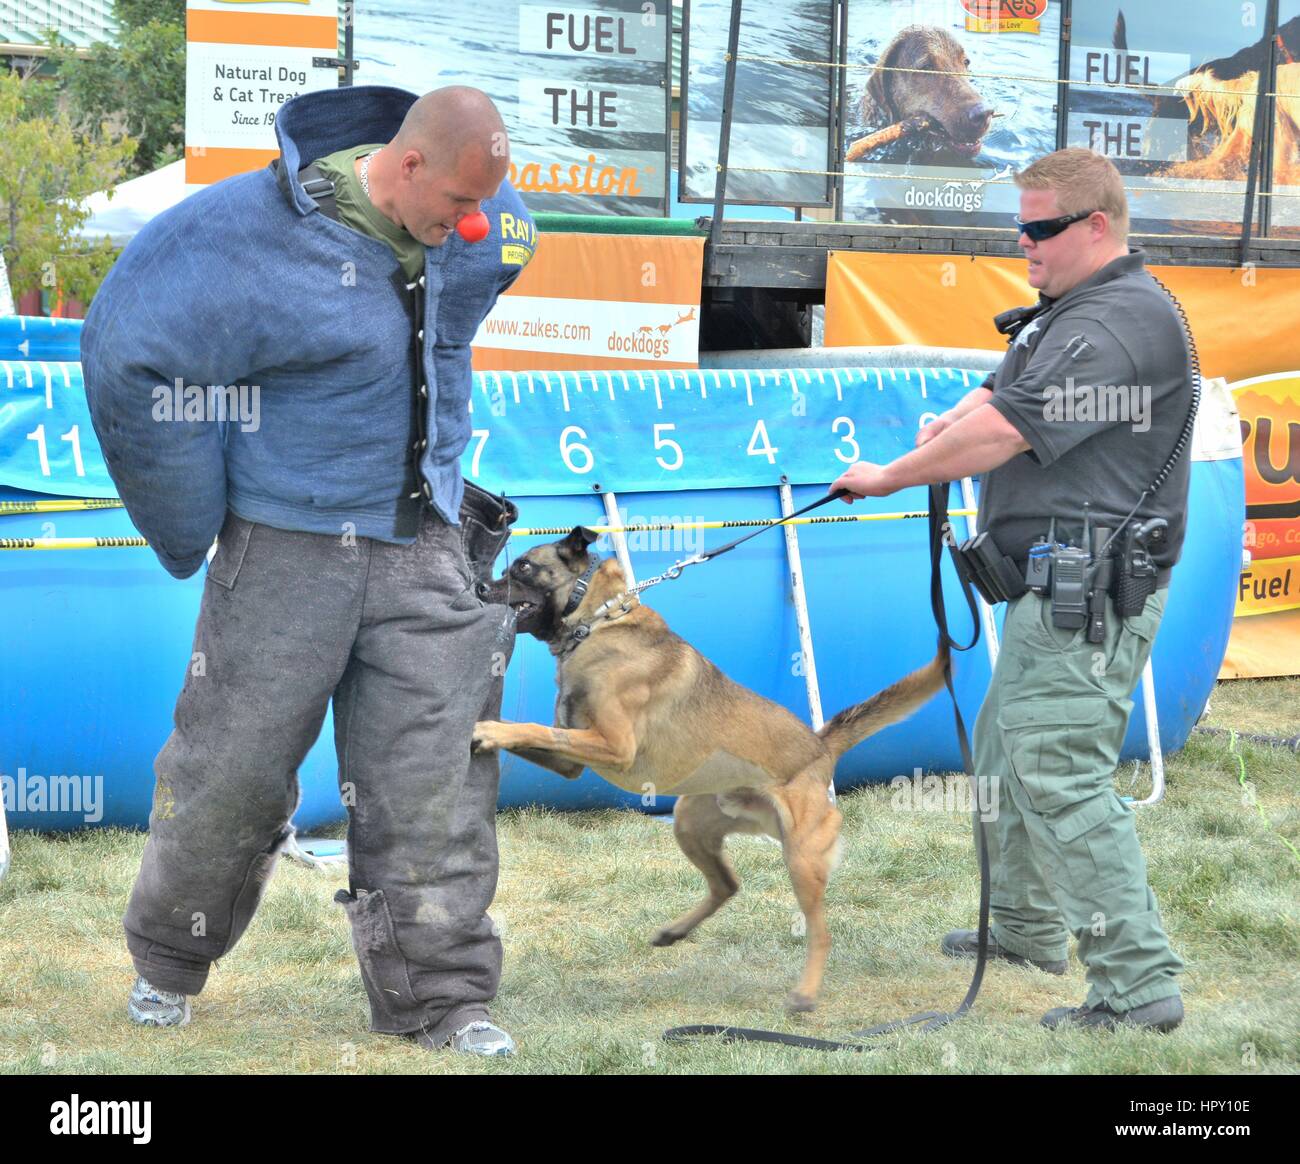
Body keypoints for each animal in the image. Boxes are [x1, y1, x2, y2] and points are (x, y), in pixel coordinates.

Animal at [475, 528, 946, 1009]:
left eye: (523, 567)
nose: (479, 588)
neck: (600, 621)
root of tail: (819, 746)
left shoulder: (614, 746)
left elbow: (531, 727)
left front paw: (488, 729)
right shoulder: (571, 761)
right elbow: (532, 731)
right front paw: (488, 728)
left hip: (801, 857)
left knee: (820, 930)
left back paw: (805, 992)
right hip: (690, 822)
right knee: (728, 885)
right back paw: (675, 930)